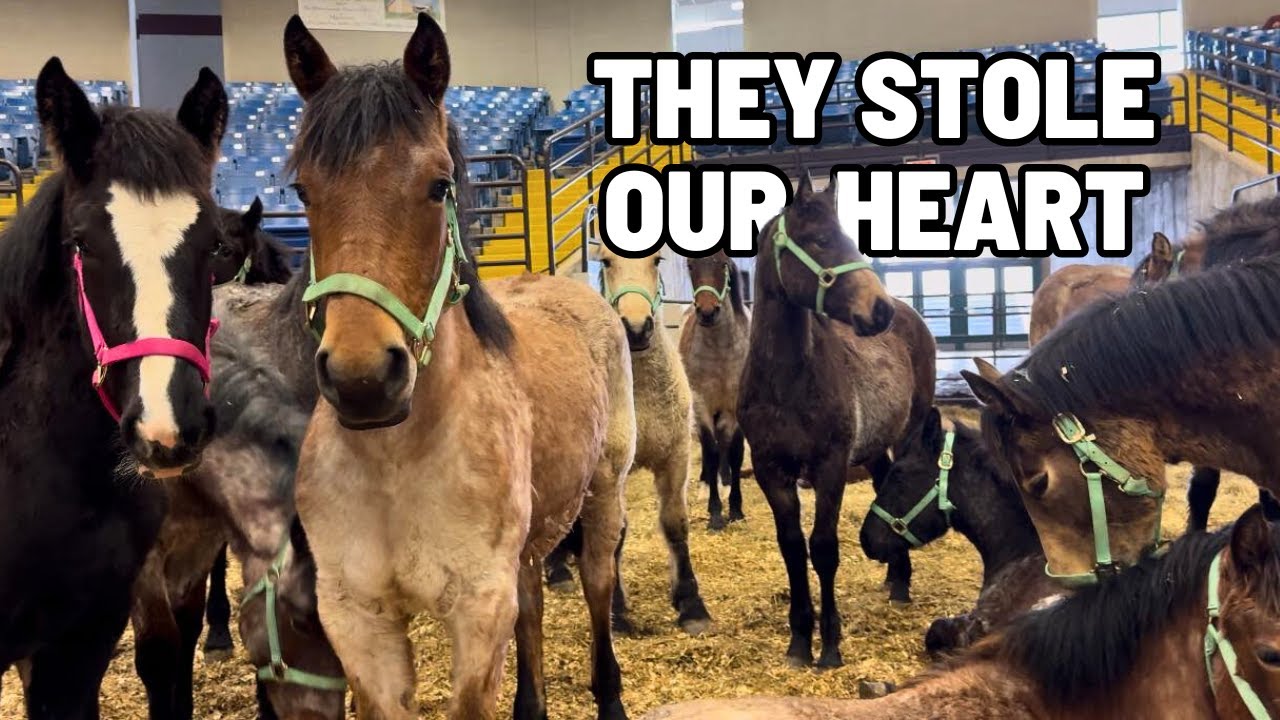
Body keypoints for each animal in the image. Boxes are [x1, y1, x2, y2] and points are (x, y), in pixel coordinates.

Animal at [283, 15, 634, 720]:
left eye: (438, 184)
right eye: (303, 189)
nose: (364, 380)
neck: (396, 463)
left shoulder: (477, 615)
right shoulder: (359, 623)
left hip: (603, 499)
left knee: (597, 589)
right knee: (532, 605)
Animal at [543, 246, 712, 636]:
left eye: (657, 260)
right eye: (606, 261)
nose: (635, 328)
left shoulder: (675, 458)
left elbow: (675, 523)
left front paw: (691, 605)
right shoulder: (611, 470)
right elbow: (616, 534)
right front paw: (617, 613)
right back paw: (558, 570)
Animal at [679, 250, 751, 530]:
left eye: (722, 264)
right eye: (690, 265)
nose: (708, 313)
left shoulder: (734, 407)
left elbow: (734, 452)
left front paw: (736, 508)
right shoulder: (702, 404)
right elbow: (710, 451)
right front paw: (715, 512)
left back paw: (725, 482)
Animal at [739, 174, 935, 668]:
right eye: (820, 240)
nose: (879, 310)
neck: (787, 381)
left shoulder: (830, 467)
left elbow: (823, 548)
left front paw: (828, 644)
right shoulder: (771, 471)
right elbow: (792, 548)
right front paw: (797, 642)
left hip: (909, 432)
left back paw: (901, 585)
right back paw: (895, 578)